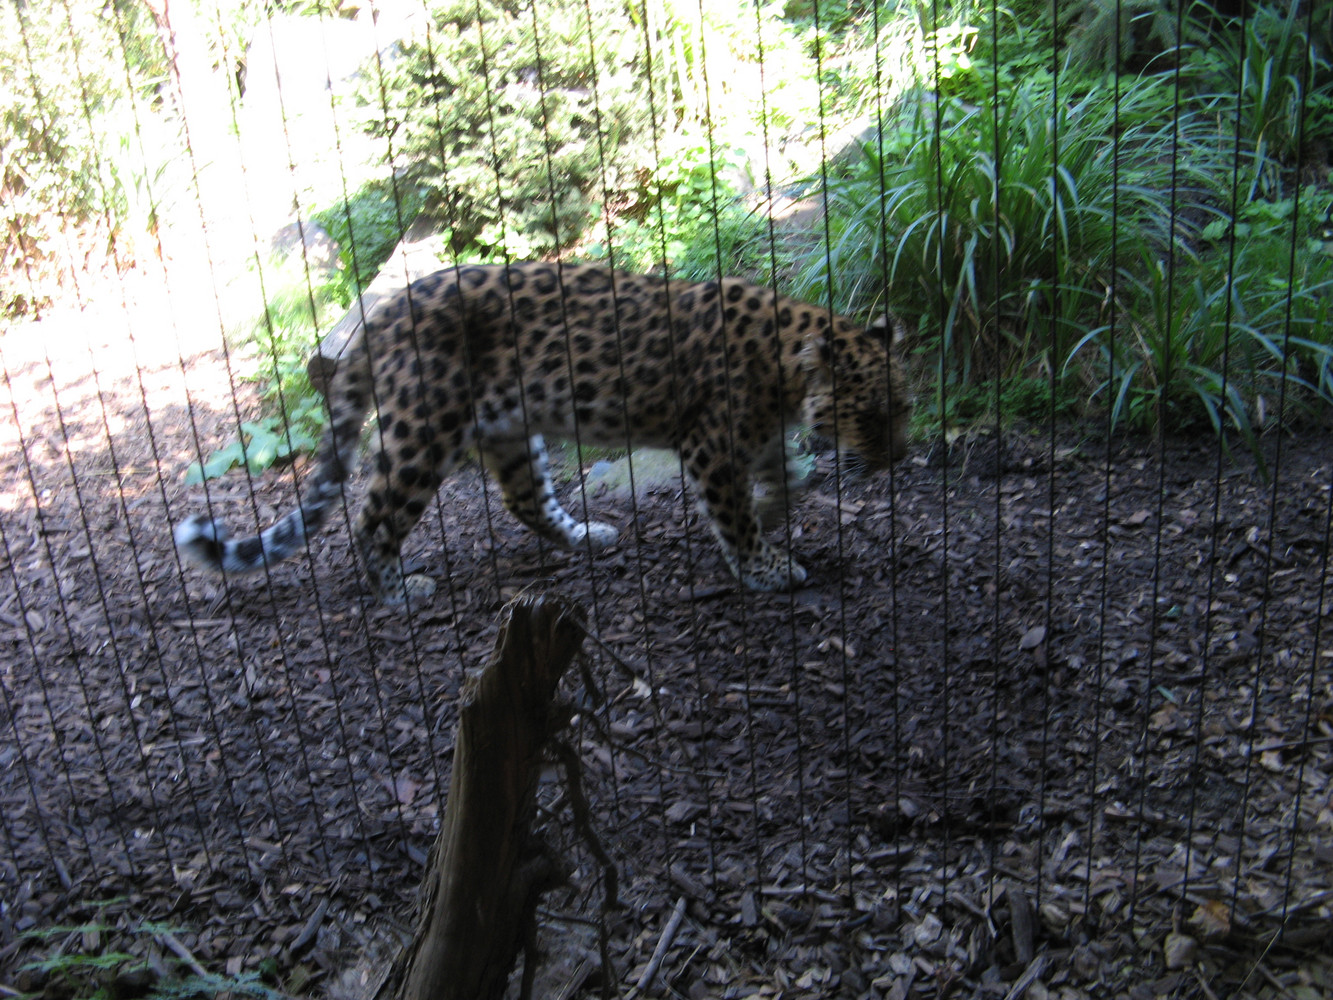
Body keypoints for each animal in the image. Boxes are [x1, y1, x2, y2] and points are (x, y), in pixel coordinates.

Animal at [174, 262, 911, 603]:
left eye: (904, 407)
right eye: (871, 414)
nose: (899, 456)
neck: (784, 370)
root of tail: (380, 315)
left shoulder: (754, 439)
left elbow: (783, 478)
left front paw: (775, 512)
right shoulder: (712, 446)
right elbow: (733, 513)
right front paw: (764, 567)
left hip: (510, 428)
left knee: (523, 498)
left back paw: (588, 534)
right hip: (424, 434)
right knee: (373, 514)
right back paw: (397, 589)